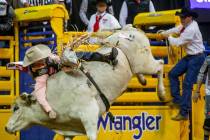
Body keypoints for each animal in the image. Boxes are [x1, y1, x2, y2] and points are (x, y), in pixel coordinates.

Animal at [5, 25, 166, 140]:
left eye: (16, 108)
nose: (6, 128)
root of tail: (129, 29)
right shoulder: (69, 129)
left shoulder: (89, 115)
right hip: (138, 66)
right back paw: (142, 80)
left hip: (145, 63)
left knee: (160, 64)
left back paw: (162, 94)